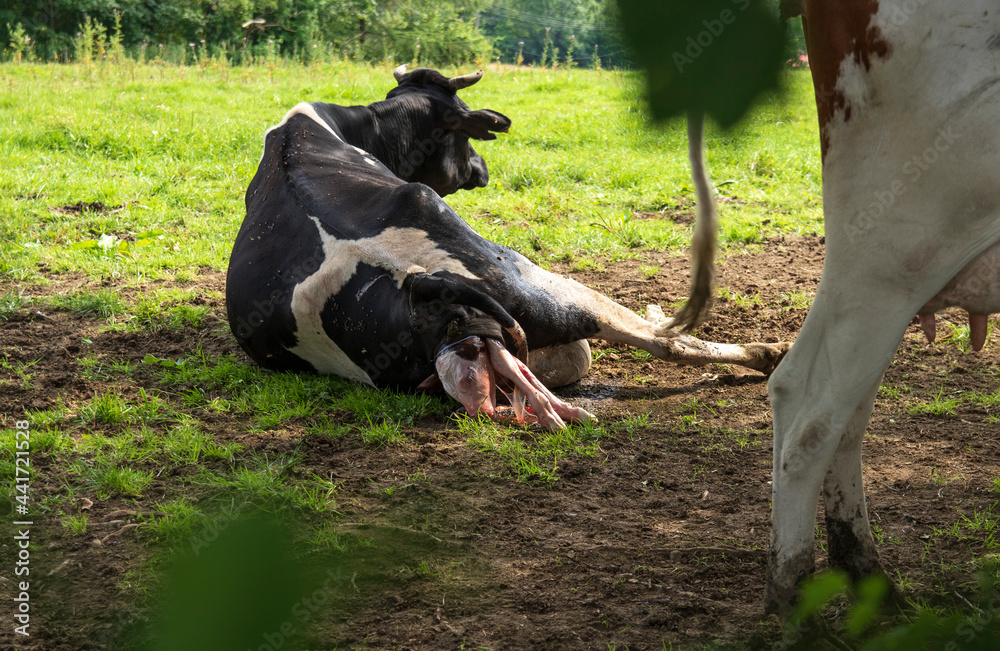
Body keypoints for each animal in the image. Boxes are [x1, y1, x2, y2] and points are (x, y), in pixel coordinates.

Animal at [226, 65, 791, 430]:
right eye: (464, 133)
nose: (481, 168)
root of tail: (421, 290)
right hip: (541, 284)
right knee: (662, 340)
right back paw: (767, 352)